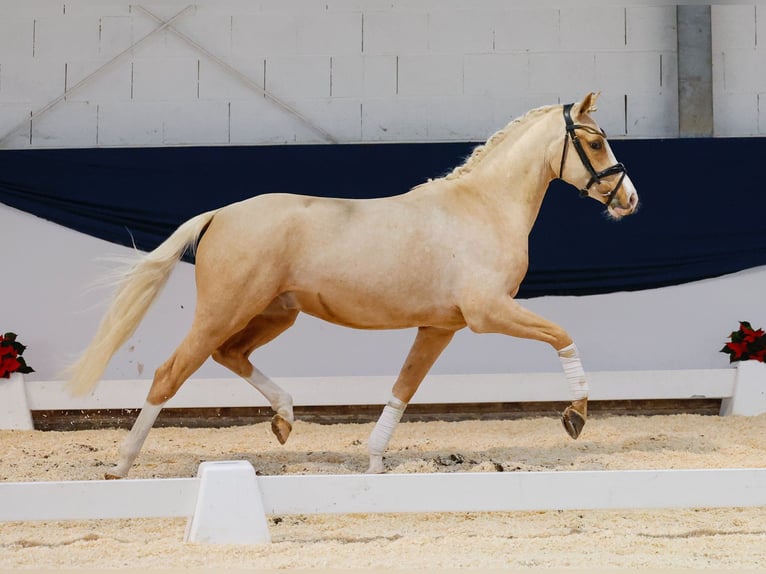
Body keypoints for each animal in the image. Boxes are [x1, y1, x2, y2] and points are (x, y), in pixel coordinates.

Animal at [67, 92, 640, 480]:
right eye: (594, 141)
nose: (629, 199)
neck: (482, 209)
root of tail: (220, 214)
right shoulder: (488, 313)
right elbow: (563, 335)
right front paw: (575, 416)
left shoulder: (440, 327)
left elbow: (403, 390)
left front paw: (374, 461)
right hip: (223, 311)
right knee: (170, 373)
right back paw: (121, 465)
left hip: (275, 313)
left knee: (230, 355)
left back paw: (284, 419)